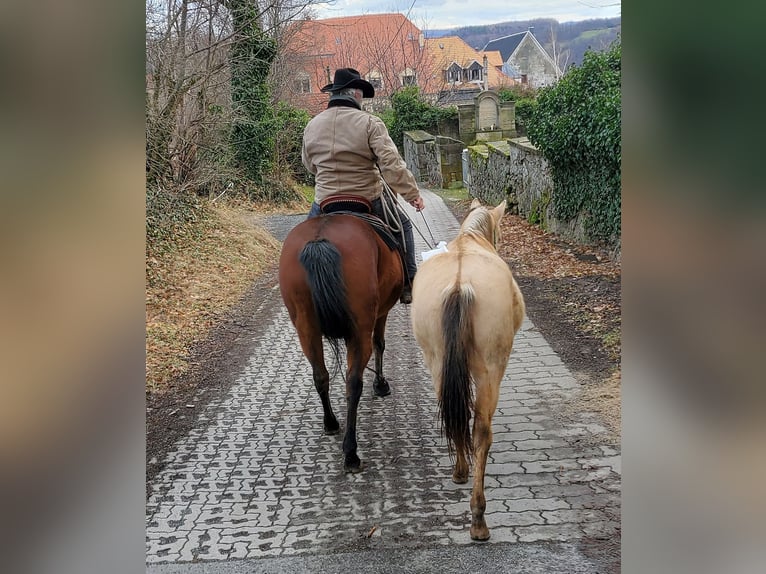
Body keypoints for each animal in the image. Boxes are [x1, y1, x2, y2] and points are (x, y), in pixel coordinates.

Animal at [278, 214, 408, 474]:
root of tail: (319, 240)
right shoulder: (381, 314)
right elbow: (380, 343)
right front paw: (381, 385)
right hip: (358, 330)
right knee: (353, 382)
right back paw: (351, 453)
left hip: (306, 328)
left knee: (320, 376)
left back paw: (330, 422)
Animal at [414, 200, 528, 544]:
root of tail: (459, 283)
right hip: (491, 370)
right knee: (481, 431)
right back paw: (478, 518)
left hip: (437, 362)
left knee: (456, 417)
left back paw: (460, 471)